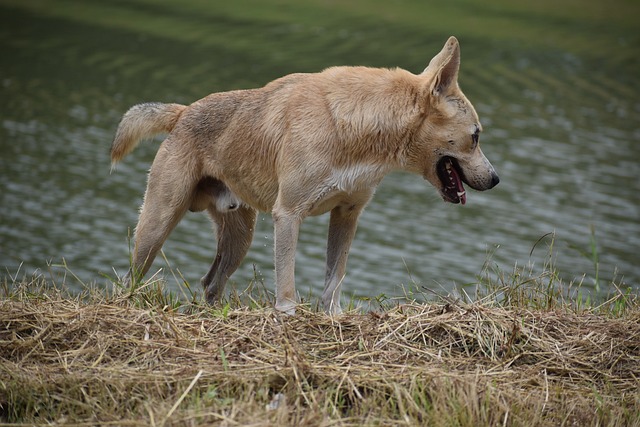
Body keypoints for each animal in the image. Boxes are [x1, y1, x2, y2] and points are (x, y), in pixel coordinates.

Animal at [111, 36, 500, 316]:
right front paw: (288, 316)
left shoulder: (347, 214)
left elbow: (334, 279)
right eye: (477, 135)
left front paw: (332, 316)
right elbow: (287, 283)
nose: (496, 179)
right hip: (158, 224)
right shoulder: (288, 214)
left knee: (210, 283)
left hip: (239, 238)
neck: (356, 129)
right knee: (130, 278)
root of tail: (183, 113)